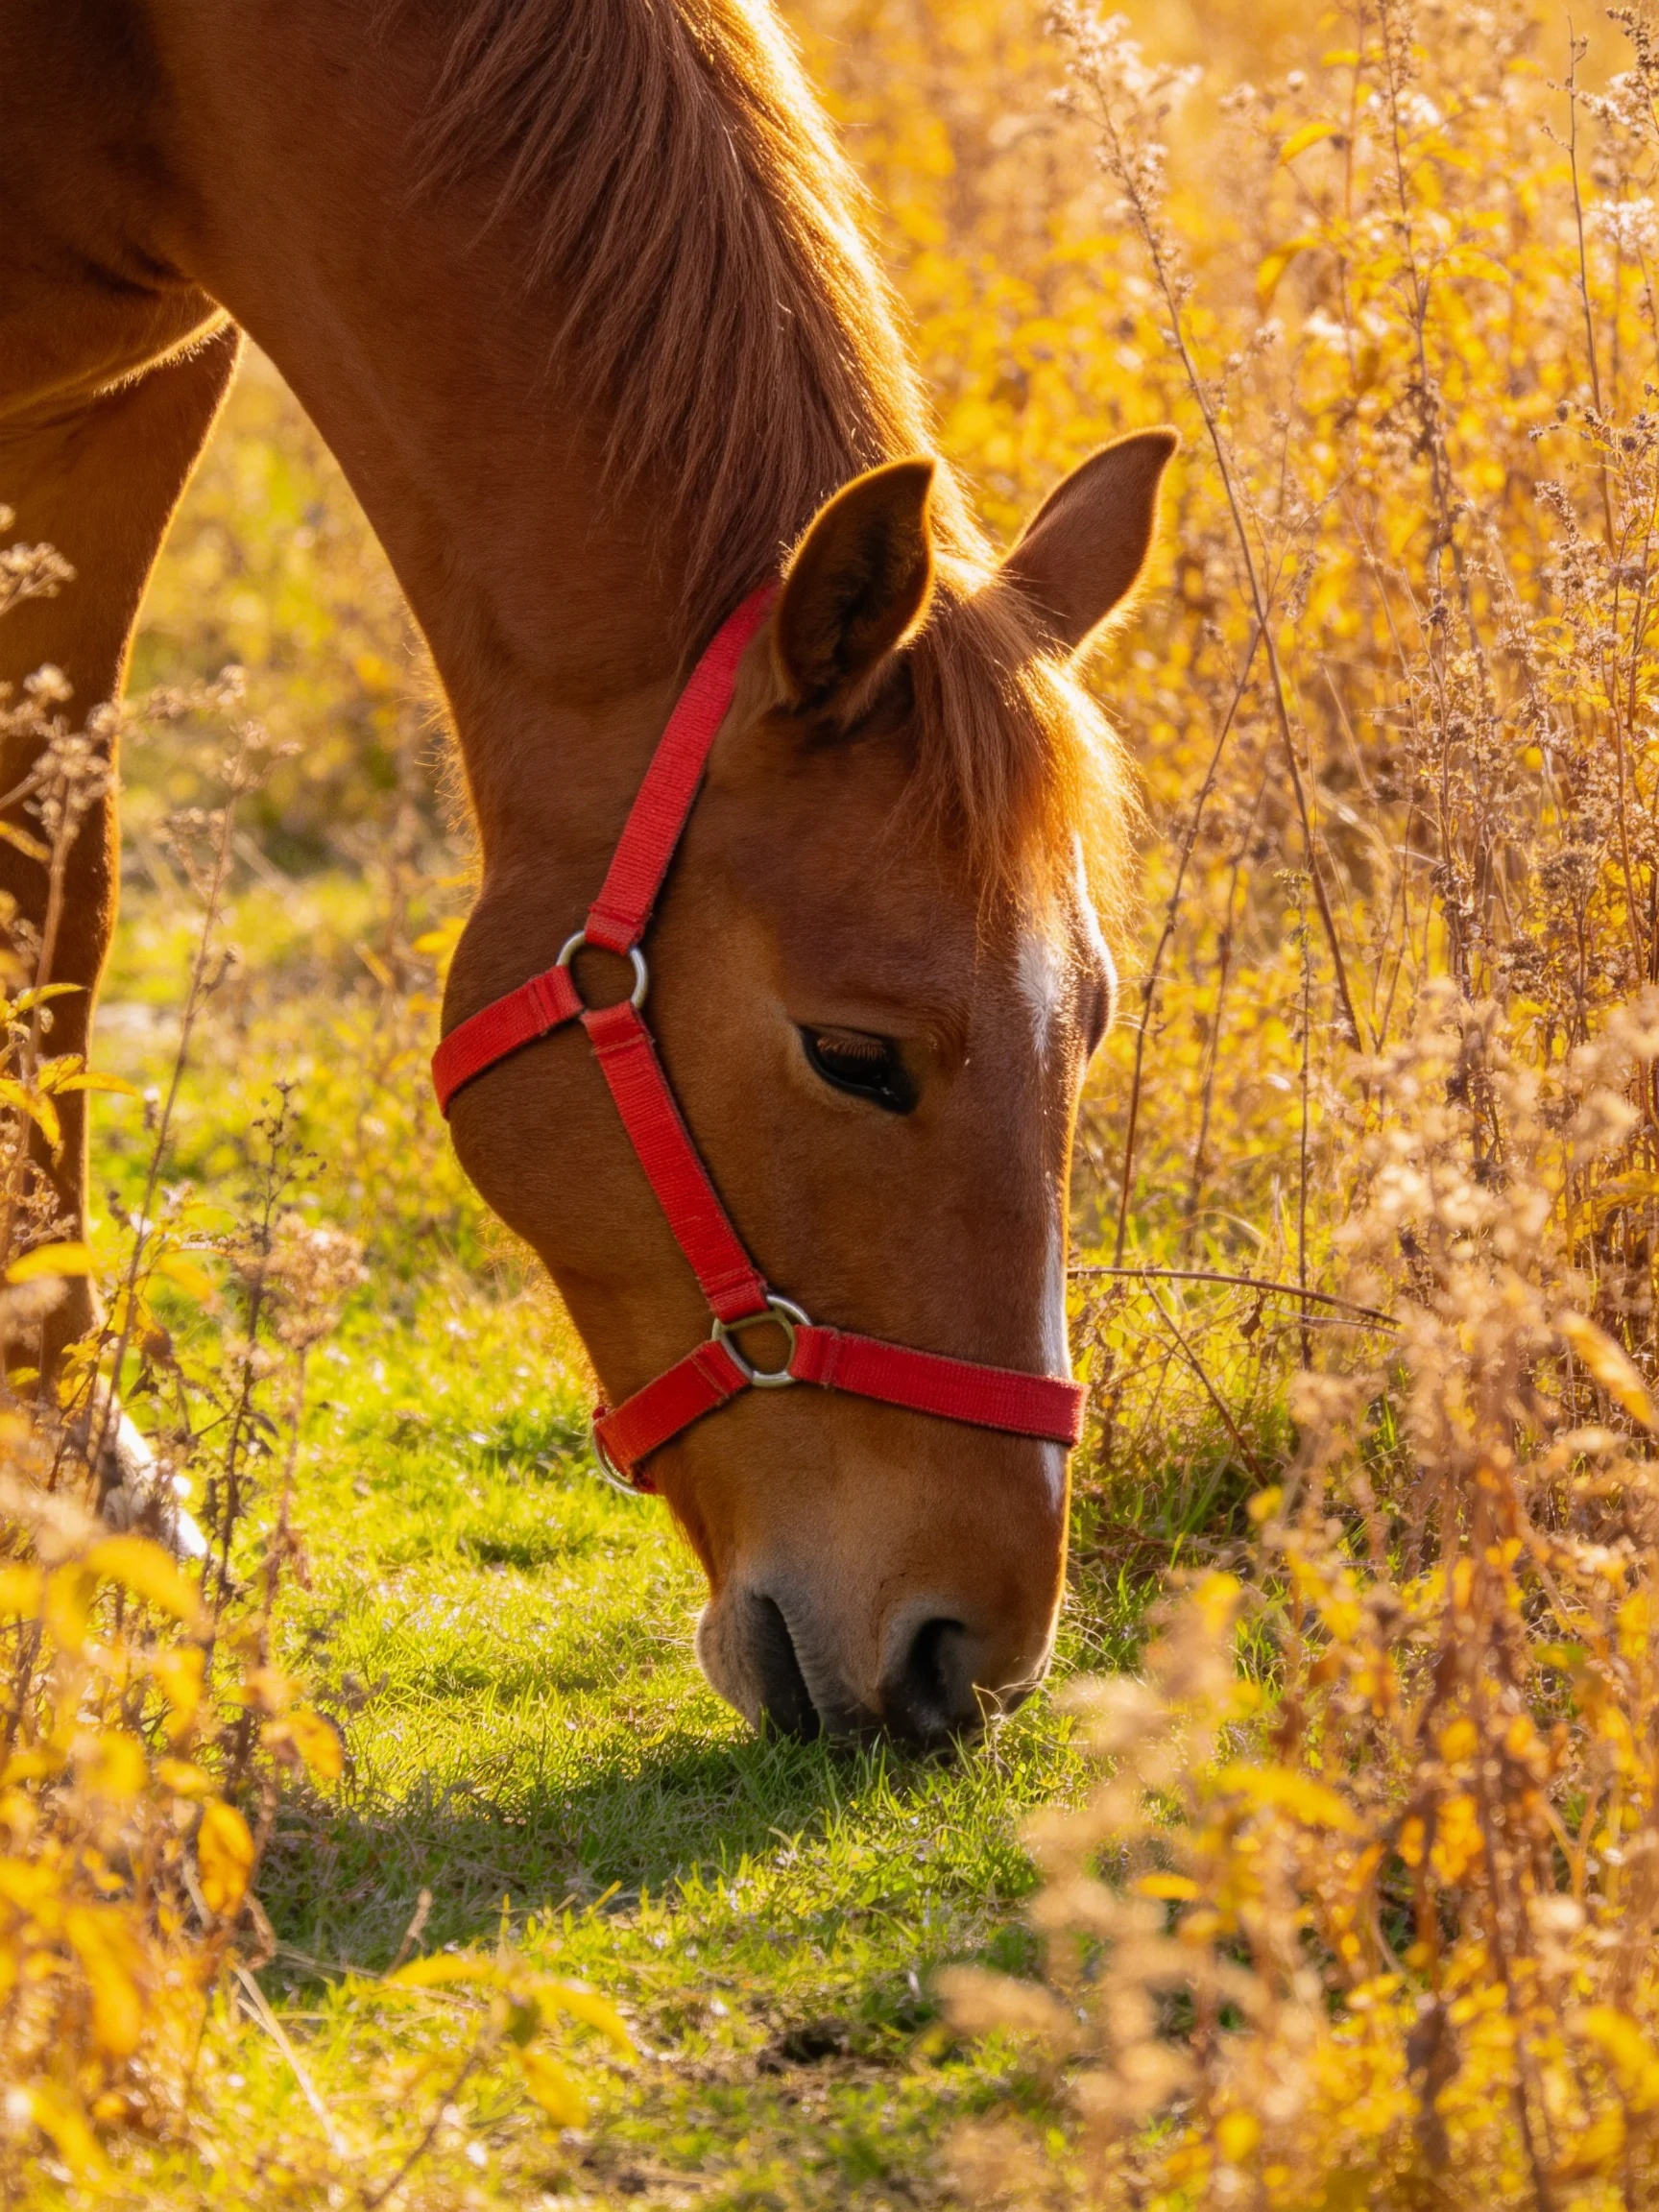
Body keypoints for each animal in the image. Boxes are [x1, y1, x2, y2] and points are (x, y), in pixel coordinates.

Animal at [0, 0, 1173, 1748]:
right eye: (852, 1054)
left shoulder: (120, 405)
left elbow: (55, 895)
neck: (161, 57)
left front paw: (78, 1483)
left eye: (1083, 1028)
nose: (969, 1654)